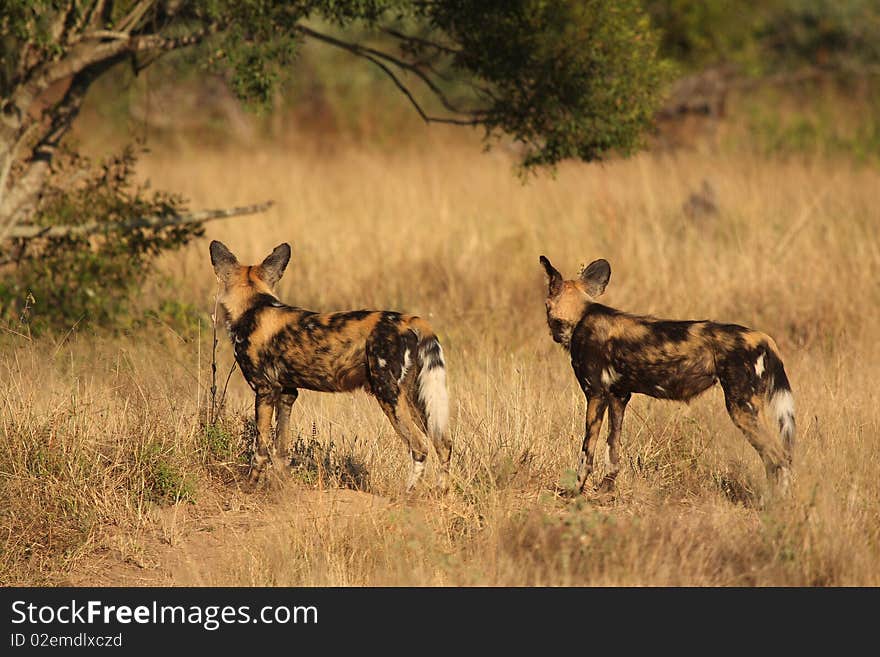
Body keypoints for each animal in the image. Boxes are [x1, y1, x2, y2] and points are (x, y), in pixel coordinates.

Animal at [210, 240, 450, 486]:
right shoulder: (287, 393)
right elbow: (281, 450)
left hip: (388, 394)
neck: (253, 306)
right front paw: (284, 485)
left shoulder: (265, 389)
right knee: (443, 444)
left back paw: (409, 492)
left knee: (419, 447)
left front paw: (250, 484)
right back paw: (441, 491)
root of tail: (409, 320)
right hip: (414, 398)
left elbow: (261, 448)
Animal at [540, 254, 796, 494]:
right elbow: (613, 448)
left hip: (741, 408)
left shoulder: (596, 394)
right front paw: (606, 489)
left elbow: (586, 451)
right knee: (778, 459)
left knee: (778, 459)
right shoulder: (618, 396)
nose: (552, 333)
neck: (581, 315)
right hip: (751, 409)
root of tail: (763, 337)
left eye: (545, 306)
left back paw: (774, 503)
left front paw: (574, 490)